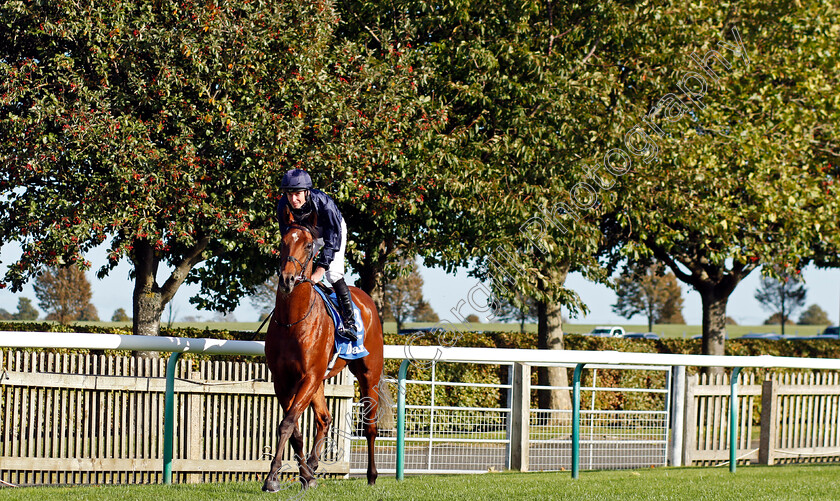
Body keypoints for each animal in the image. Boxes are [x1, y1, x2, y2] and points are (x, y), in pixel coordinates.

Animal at [262, 207, 388, 492]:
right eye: (282, 242)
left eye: (309, 245)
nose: (287, 279)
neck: (293, 321)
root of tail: (366, 300)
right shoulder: (284, 379)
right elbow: (295, 429)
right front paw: (304, 475)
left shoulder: (308, 375)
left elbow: (287, 423)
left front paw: (272, 477)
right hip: (319, 380)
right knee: (324, 418)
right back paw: (312, 467)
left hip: (369, 375)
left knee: (370, 426)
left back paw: (372, 475)